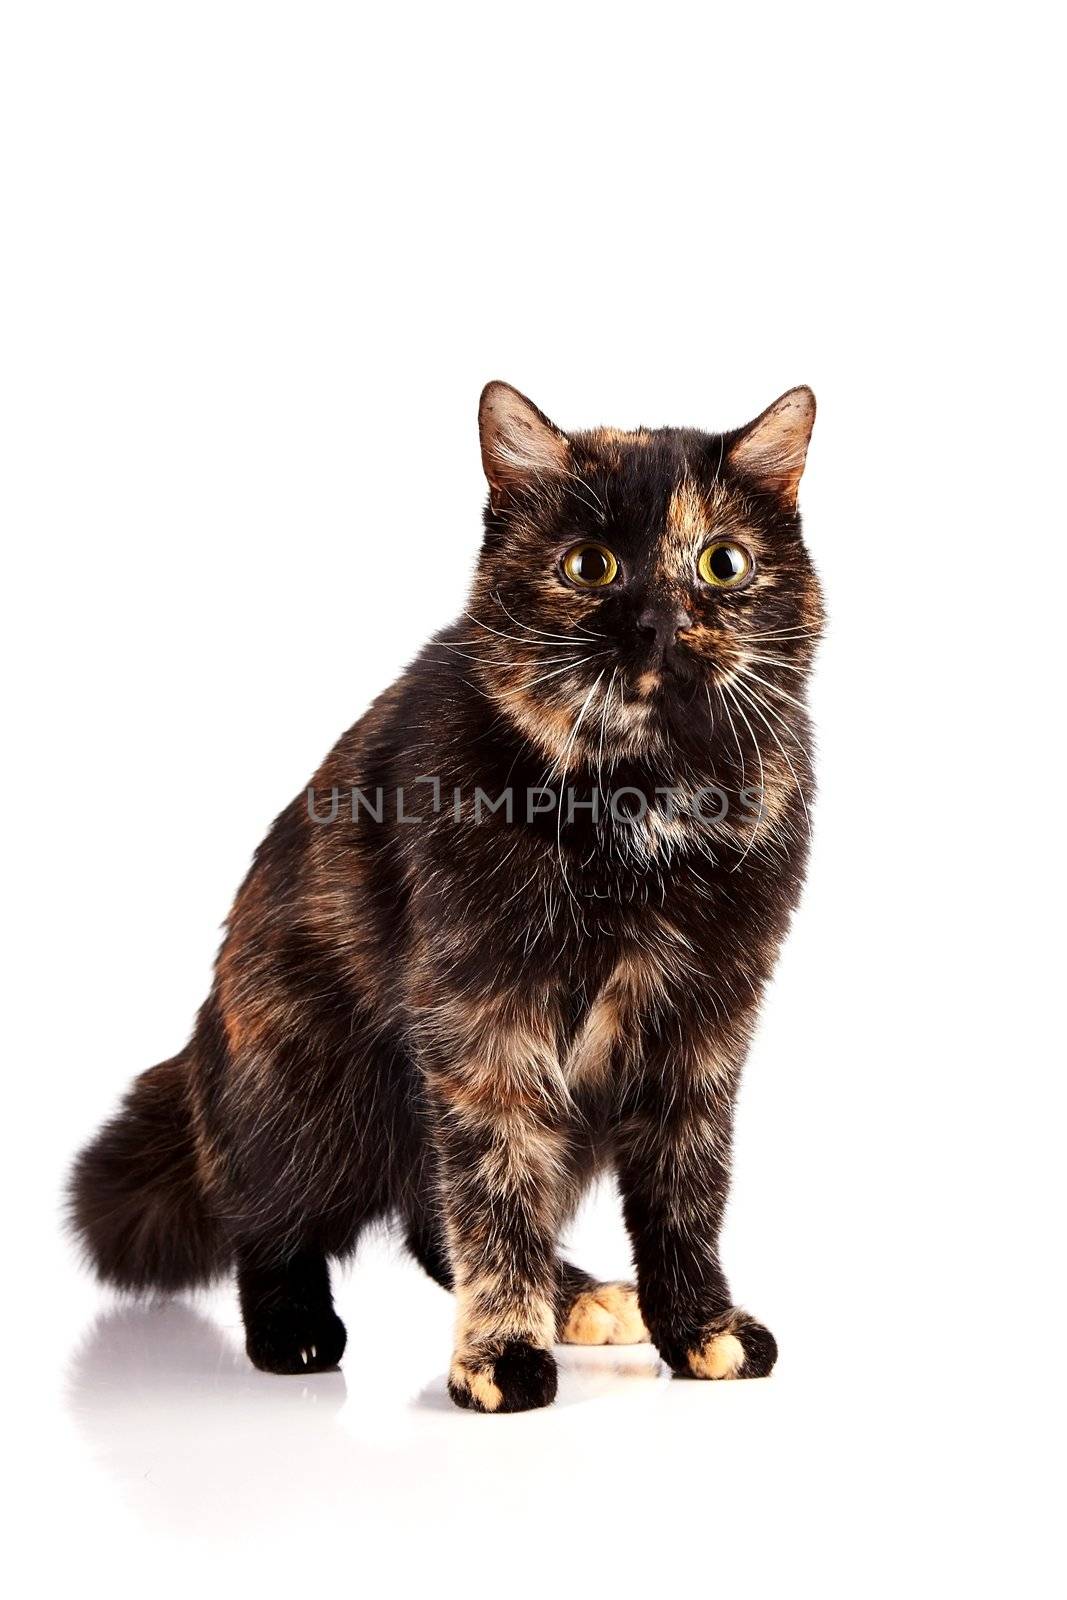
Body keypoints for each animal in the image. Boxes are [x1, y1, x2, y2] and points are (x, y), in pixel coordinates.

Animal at [73, 380, 825, 1408]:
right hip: (307, 1086)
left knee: (433, 1221)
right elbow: (493, 1188)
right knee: (270, 1220)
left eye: (723, 562)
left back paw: (575, 1297)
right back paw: (296, 1330)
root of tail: (200, 1060)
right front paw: (500, 1354)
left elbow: (685, 1192)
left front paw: (701, 1330)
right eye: (589, 566)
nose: (661, 622)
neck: (643, 803)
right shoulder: (481, 1020)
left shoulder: (704, 1022)